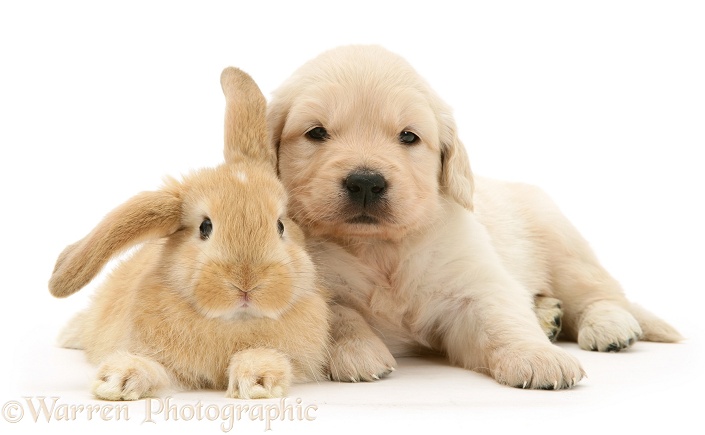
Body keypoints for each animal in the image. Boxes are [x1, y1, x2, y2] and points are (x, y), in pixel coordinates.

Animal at [48, 66, 330, 400]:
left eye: (280, 226)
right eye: (205, 227)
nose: (246, 282)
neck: (233, 322)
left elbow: (269, 356)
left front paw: (257, 380)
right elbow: (155, 369)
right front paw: (118, 380)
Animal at [266, 45, 680, 392]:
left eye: (408, 137)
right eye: (317, 132)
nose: (366, 182)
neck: (380, 248)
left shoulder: (475, 282)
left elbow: (501, 317)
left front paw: (538, 358)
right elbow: (337, 312)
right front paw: (358, 351)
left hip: (563, 246)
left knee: (601, 293)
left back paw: (609, 325)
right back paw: (549, 316)